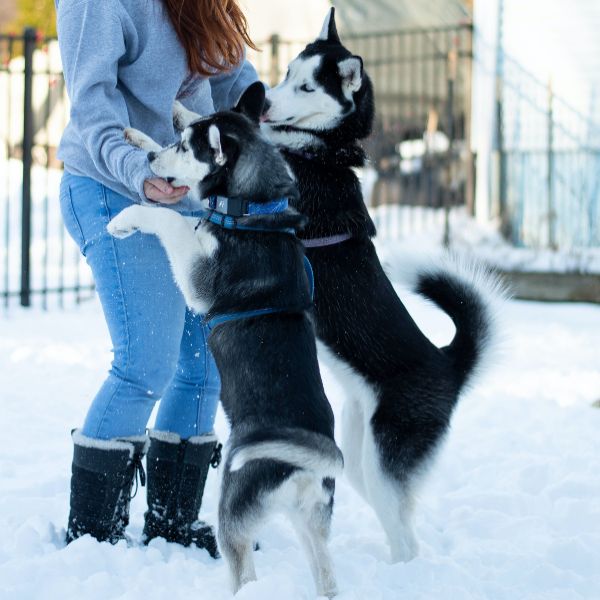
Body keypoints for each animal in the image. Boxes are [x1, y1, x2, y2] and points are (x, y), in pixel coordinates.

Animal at [105, 83, 342, 596]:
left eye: (184, 148)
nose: (150, 162)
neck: (250, 210)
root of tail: (305, 465)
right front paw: (142, 134)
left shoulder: (199, 279)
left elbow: (171, 220)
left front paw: (130, 215)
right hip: (311, 523)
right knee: (327, 576)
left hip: (234, 512)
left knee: (244, 574)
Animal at [262, 8, 506, 564]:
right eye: (287, 73)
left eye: (307, 86)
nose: (262, 101)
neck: (325, 151)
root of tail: (449, 364)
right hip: (359, 455)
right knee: (399, 521)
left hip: (383, 460)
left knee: (406, 536)